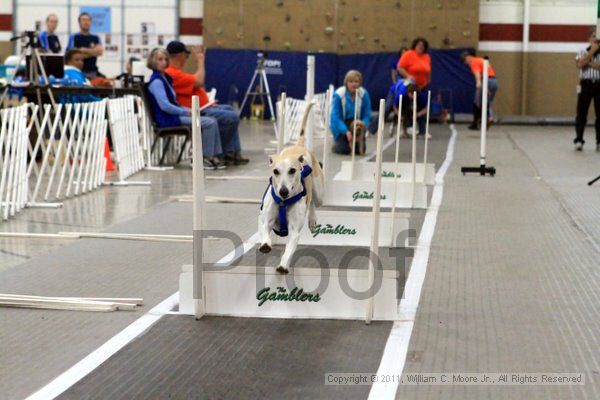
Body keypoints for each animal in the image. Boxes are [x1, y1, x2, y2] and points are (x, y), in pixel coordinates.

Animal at [258, 101, 324, 274]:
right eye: (275, 171)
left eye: (292, 170)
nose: (283, 191)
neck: (283, 202)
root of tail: (299, 146)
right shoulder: (266, 219)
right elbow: (264, 231)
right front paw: (265, 244)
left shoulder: (294, 231)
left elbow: (288, 250)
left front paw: (283, 265)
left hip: (319, 192)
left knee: (313, 201)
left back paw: (312, 219)